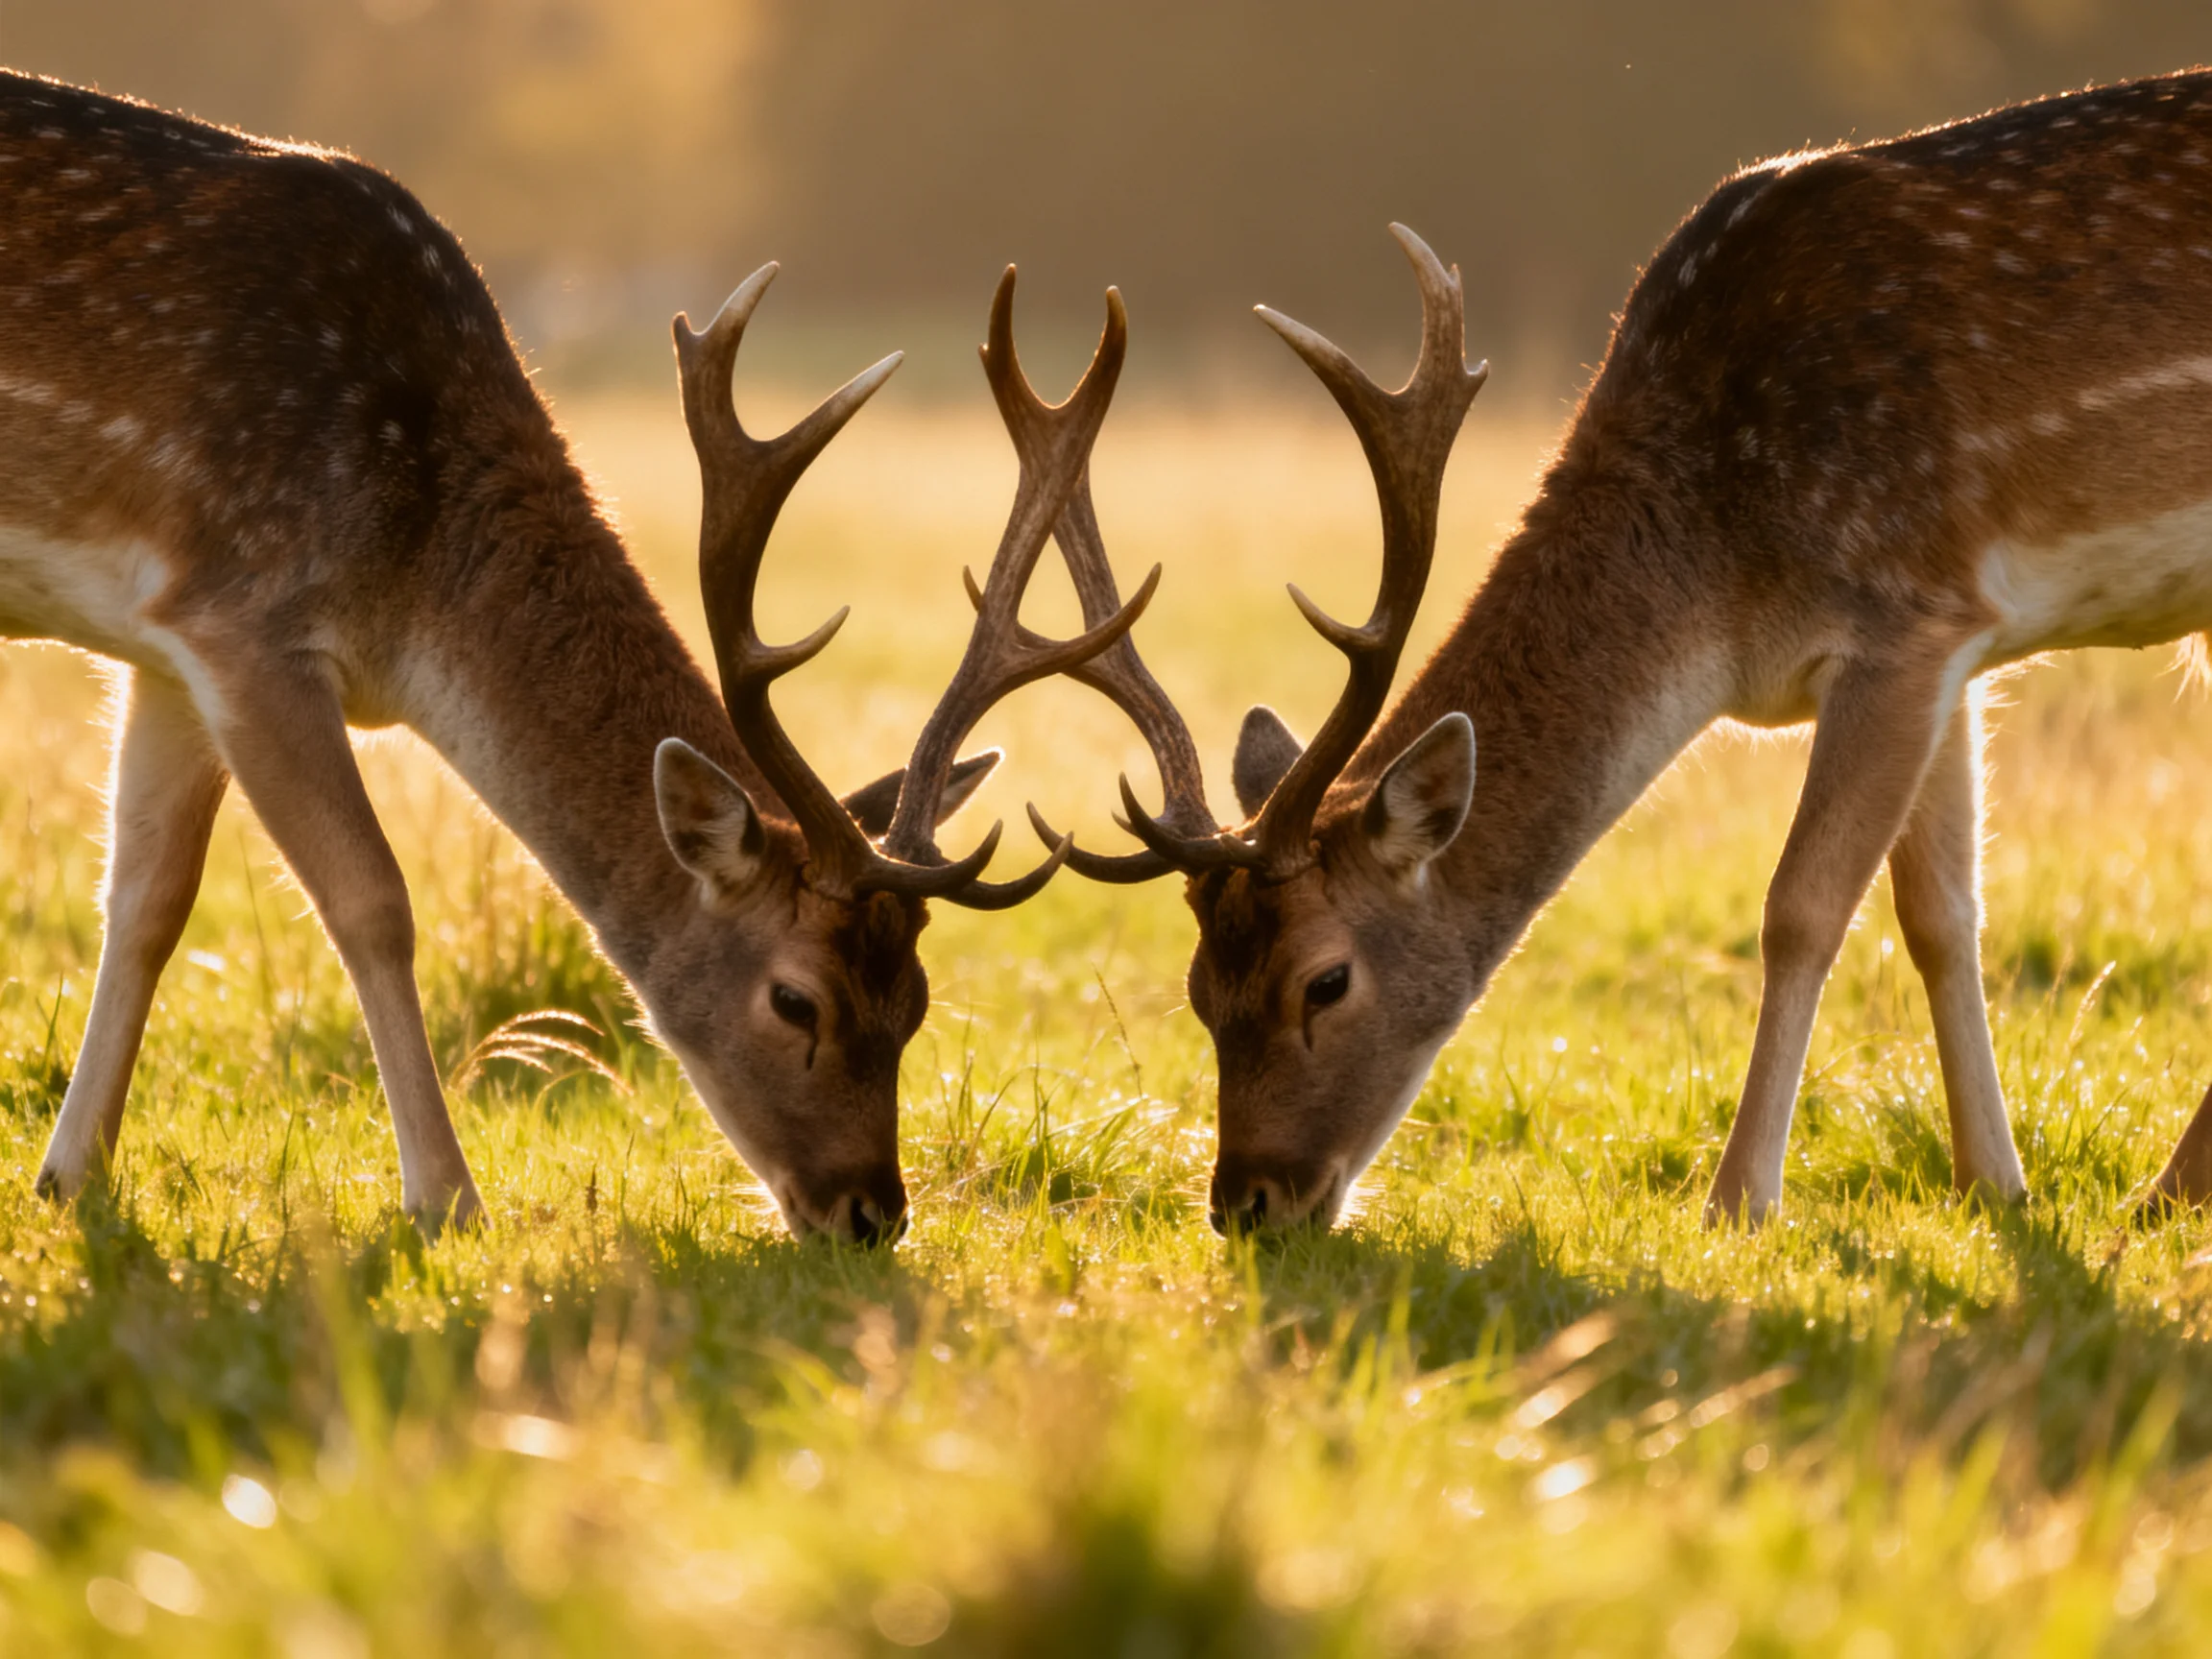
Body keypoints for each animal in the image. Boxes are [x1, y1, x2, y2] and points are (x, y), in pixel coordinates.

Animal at [0, 68, 1148, 1242]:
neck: (409, 601)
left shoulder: (166, 648)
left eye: (915, 1001)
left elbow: (146, 899)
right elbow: (371, 901)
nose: (871, 1212)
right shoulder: (247, 615)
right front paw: (448, 1199)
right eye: (796, 1000)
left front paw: (69, 1175)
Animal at [1037, 67, 2212, 1233]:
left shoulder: (1906, 607)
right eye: (1199, 990)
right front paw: (1994, 1185)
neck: (1725, 602)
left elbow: (1801, 910)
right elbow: (1943, 915)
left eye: (1325, 979)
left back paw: (2169, 1188)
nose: (1247, 1201)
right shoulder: (1953, 646)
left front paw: (1737, 1203)